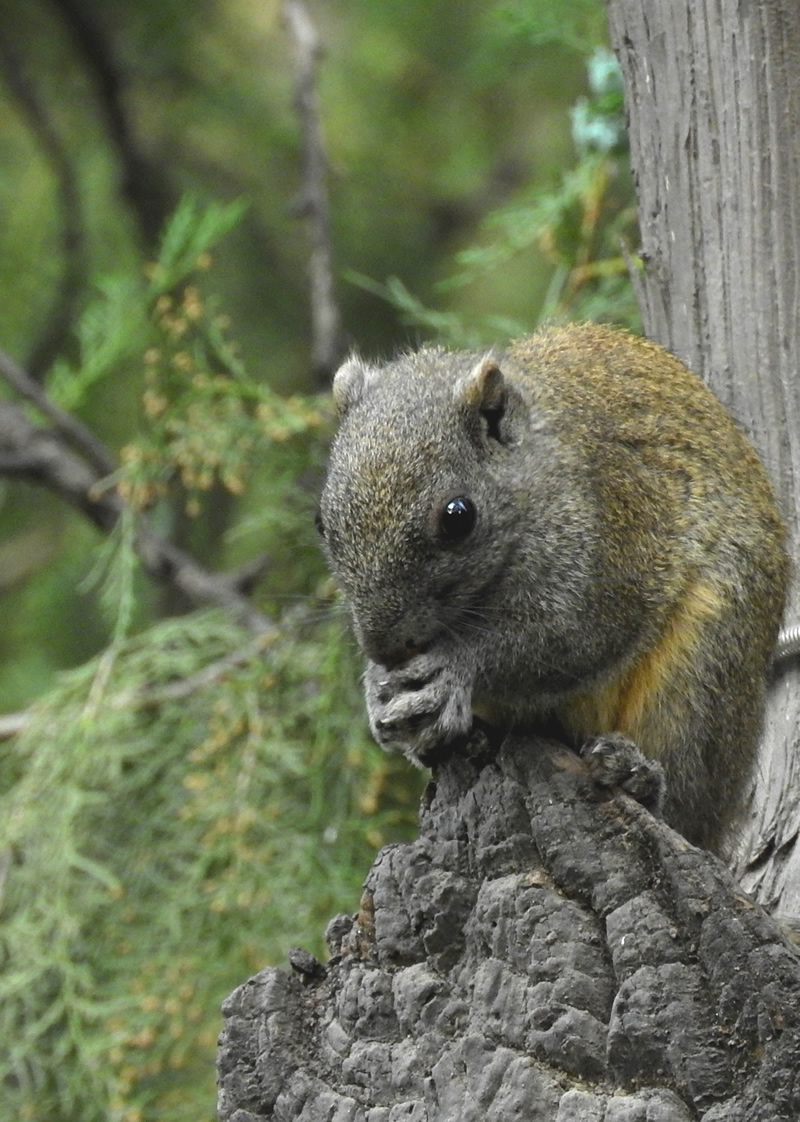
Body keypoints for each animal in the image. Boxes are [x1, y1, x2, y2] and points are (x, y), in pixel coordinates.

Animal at [314, 325, 789, 848]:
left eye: (458, 516)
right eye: (321, 522)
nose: (382, 647)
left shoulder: (612, 542)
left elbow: (564, 641)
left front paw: (451, 669)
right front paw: (377, 692)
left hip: (705, 662)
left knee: (687, 799)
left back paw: (642, 778)